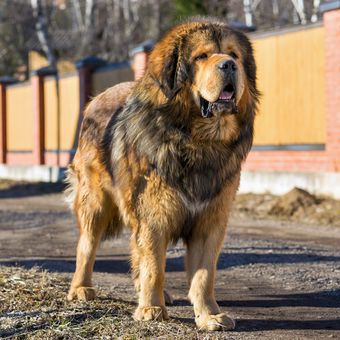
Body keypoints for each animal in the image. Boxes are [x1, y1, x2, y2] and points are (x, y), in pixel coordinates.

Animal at [65, 17, 258, 330]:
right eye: (202, 56)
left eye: (234, 55)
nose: (229, 65)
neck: (199, 142)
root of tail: (96, 99)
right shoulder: (155, 215)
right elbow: (154, 265)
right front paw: (151, 309)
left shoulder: (211, 222)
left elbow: (204, 275)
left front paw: (209, 314)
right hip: (95, 203)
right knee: (87, 245)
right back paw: (81, 288)